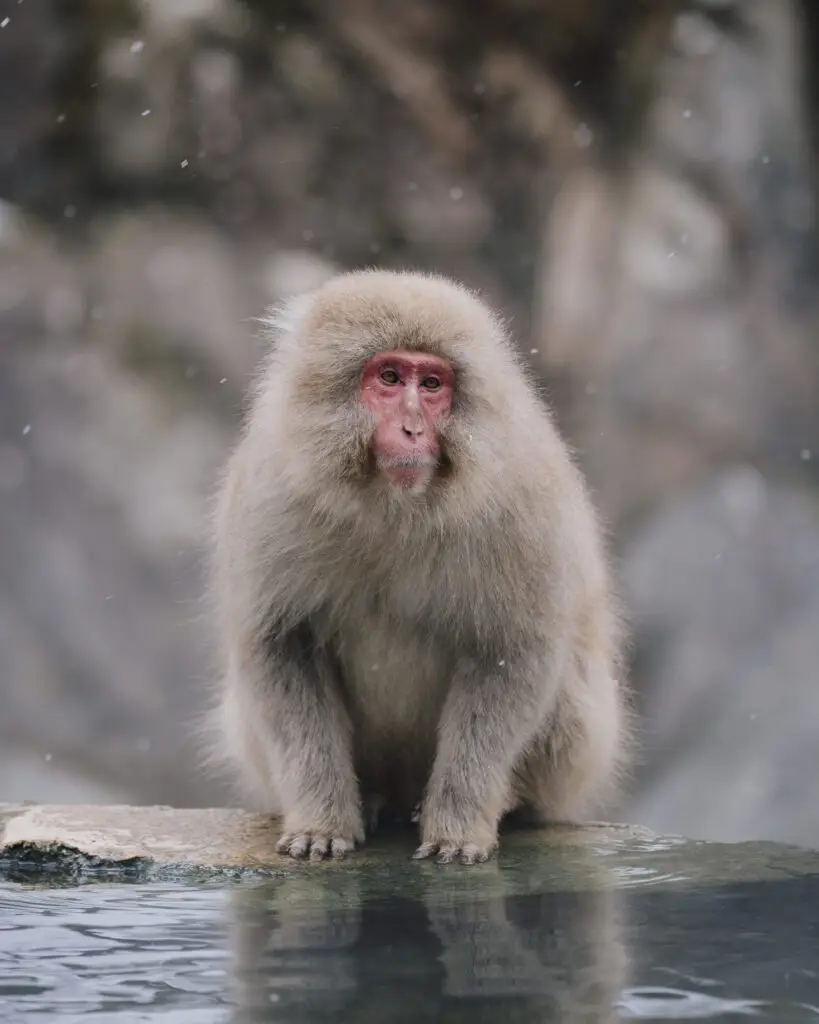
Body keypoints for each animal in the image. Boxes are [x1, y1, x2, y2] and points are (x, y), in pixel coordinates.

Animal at [210, 268, 629, 865]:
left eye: (431, 385)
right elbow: (281, 645)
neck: (394, 503)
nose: (411, 429)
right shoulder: (271, 493)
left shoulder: (521, 503)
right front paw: (321, 821)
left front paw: (458, 826)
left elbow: (512, 653)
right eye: (389, 377)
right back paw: (372, 798)